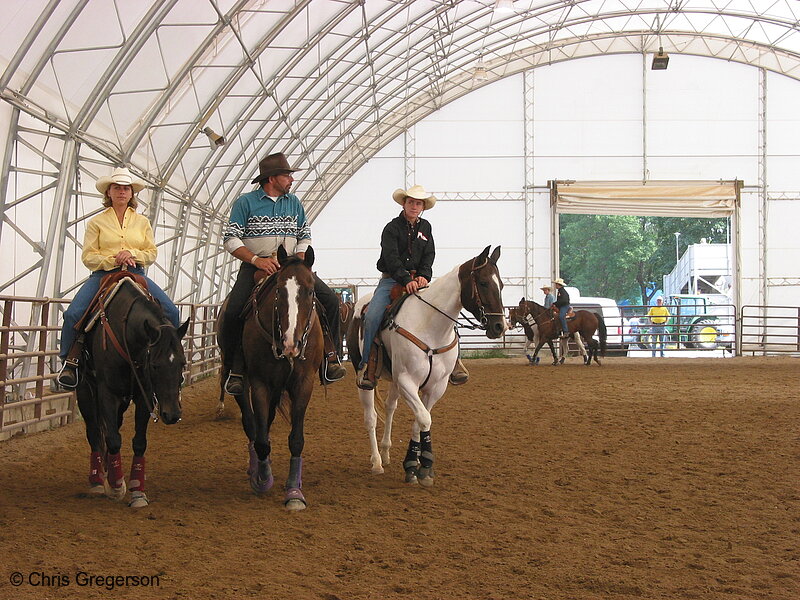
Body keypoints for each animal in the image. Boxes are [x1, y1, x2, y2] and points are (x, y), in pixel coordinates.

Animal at [76, 276, 189, 506]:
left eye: (182, 363)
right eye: (154, 365)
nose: (172, 414)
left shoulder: (143, 396)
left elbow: (138, 442)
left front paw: (137, 490)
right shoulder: (107, 393)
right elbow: (112, 439)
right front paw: (116, 486)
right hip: (85, 390)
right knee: (94, 432)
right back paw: (97, 480)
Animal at [217, 246, 324, 508]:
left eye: (310, 290)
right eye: (279, 290)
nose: (291, 344)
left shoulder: (303, 384)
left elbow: (296, 439)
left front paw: (294, 491)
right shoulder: (260, 384)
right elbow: (261, 439)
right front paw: (263, 480)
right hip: (242, 382)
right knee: (252, 425)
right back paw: (254, 469)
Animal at [346, 246, 506, 486]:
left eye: (502, 285)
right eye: (484, 282)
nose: (499, 327)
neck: (430, 325)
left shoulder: (436, 386)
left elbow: (419, 422)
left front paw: (416, 465)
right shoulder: (407, 381)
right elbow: (424, 418)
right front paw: (422, 466)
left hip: (394, 381)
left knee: (390, 407)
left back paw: (386, 452)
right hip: (365, 378)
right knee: (370, 417)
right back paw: (376, 462)